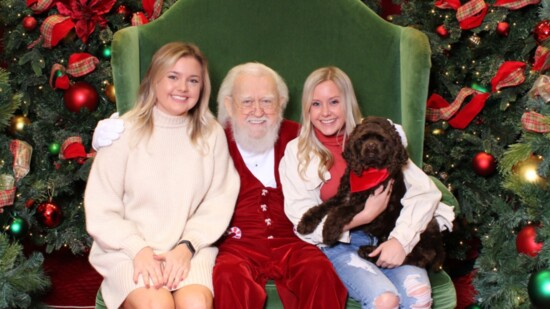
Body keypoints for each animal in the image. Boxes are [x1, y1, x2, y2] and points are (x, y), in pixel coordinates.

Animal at [300, 115, 446, 270]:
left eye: (382, 139)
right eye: (362, 139)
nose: (371, 146)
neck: (369, 172)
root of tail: (439, 242)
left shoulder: (364, 202)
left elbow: (339, 211)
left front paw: (329, 230)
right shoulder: (343, 195)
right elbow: (323, 206)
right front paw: (306, 222)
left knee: (413, 258)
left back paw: (370, 253)